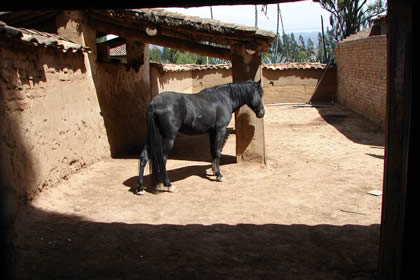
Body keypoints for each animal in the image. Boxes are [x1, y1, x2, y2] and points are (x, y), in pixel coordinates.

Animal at [136, 79, 264, 195]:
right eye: (260, 94)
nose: (262, 113)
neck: (223, 99)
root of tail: (153, 104)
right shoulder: (220, 130)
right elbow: (217, 152)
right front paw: (219, 176)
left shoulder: (212, 132)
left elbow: (213, 151)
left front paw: (214, 171)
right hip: (168, 138)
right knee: (162, 159)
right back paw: (169, 185)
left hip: (153, 136)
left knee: (144, 156)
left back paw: (140, 188)